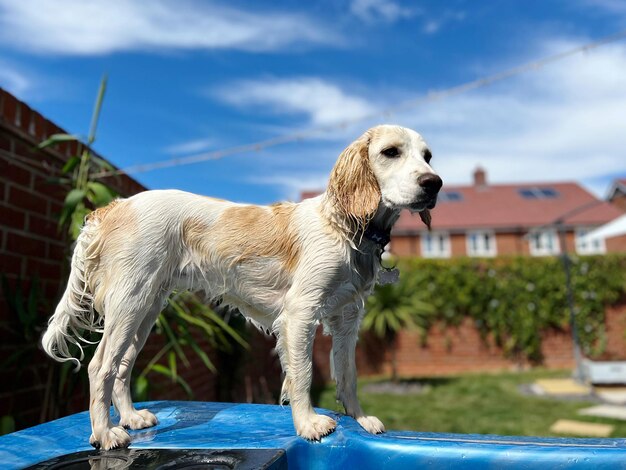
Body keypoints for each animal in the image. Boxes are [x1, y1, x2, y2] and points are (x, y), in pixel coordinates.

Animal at [42, 126, 438, 452]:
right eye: (390, 152)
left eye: (428, 156)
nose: (434, 183)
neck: (346, 228)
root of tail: (113, 207)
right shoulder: (301, 313)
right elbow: (303, 375)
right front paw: (308, 424)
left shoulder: (347, 319)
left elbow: (348, 376)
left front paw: (360, 420)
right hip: (130, 304)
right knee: (100, 367)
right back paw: (105, 433)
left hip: (145, 309)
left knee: (122, 366)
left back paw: (130, 418)